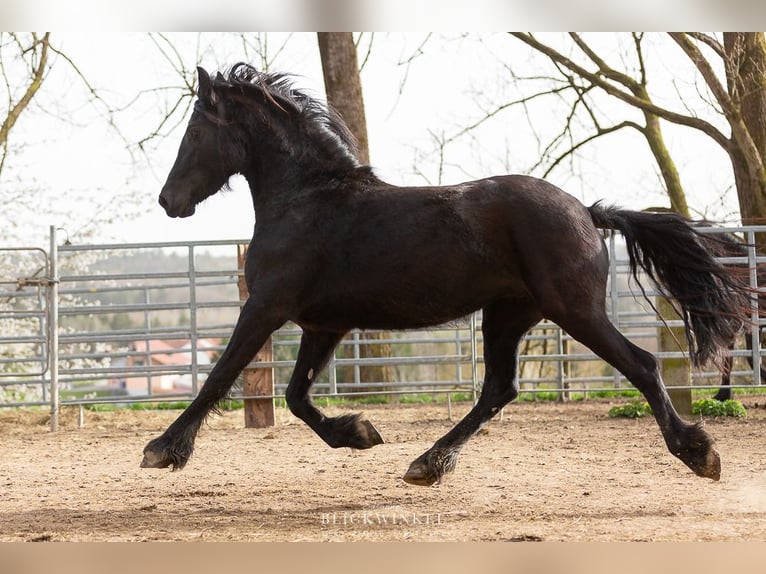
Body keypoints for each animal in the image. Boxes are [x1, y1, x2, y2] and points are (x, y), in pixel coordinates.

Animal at [141, 64, 752, 486]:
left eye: (194, 132)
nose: (169, 200)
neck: (308, 199)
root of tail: (585, 209)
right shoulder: (324, 325)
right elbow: (295, 396)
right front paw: (359, 433)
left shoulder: (265, 307)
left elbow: (221, 375)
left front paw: (162, 449)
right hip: (508, 314)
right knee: (499, 389)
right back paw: (427, 463)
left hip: (572, 310)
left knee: (642, 365)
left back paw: (699, 454)